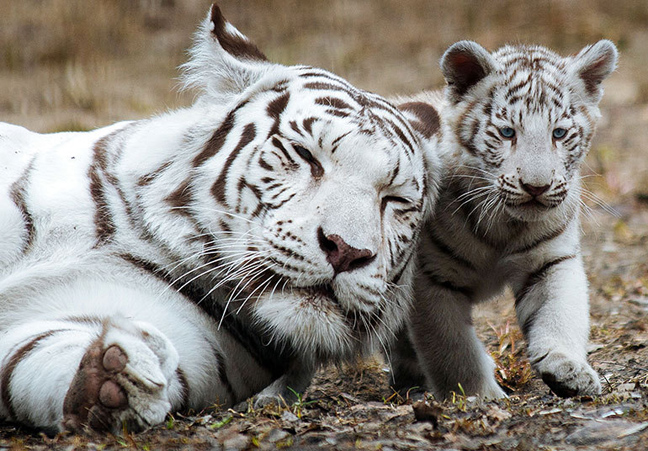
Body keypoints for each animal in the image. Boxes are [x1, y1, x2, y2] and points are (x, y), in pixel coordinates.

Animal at [0, 3, 438, 434]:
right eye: (304, 154)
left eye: (394, 199)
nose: (346, 251)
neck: (145, 239)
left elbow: (36, 353)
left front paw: (115, 380)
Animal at [390, 38, 616, 400]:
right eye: (508, 132)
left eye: (559, 133)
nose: (536, 187)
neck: (506, 225)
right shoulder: (432, 277)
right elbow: (451, 346)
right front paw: (478, 396)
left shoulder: (550, 262)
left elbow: (560, 314)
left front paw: (568, 368)